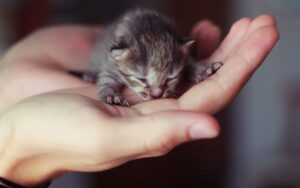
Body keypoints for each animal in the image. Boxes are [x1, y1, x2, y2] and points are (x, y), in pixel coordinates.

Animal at [84, 9, 223, 106]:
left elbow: (191, 64)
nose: (157, 95)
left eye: (170, 78)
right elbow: (105, 80)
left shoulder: (185, 58)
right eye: (141, 78)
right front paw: (111, 96)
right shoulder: (111, 65)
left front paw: (204, 70)